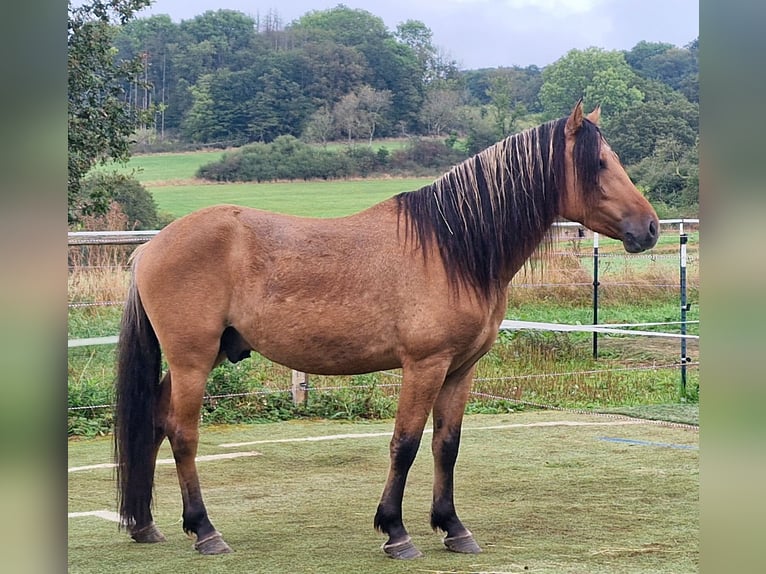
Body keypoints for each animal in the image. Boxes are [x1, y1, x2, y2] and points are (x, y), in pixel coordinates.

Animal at [112, 101, 660, 560]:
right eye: (600, 164)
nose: (651, 228)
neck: (452, 248)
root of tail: (151, 247)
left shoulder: (460, 370)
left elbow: (446, 446)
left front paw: (453, 528)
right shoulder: (424, 365)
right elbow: (406, 443)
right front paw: (396, 532)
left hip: (200, 358)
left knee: (155, 422)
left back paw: (145, 525)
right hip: (193, 360)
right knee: (183, 433)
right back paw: (205, 531)